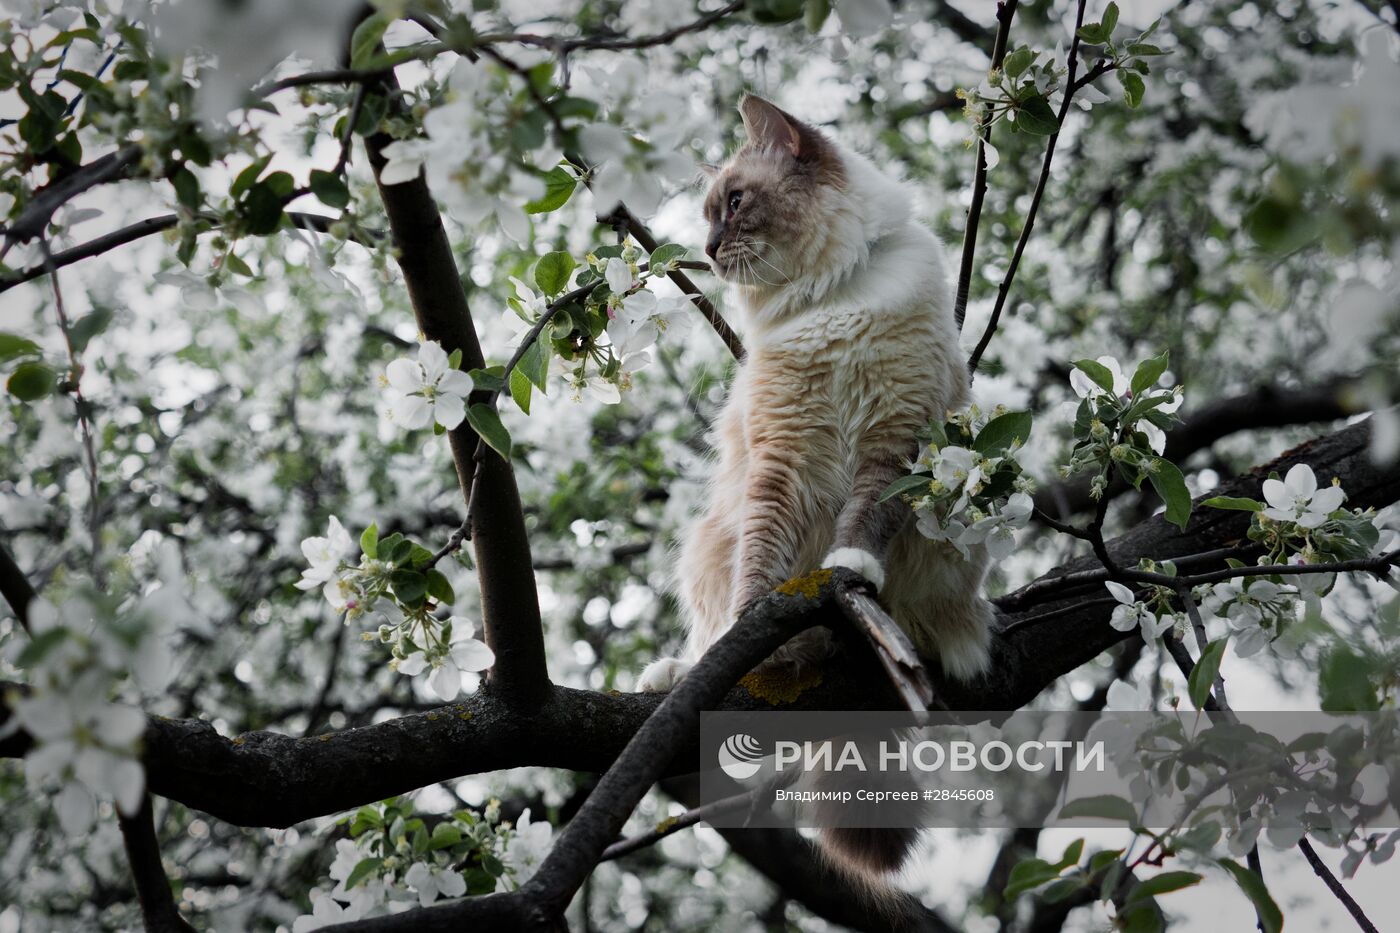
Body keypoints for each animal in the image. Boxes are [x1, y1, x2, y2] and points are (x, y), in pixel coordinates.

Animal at [641, 98, 1002, 874]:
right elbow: (759, 570)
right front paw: (756, 626)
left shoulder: (894, 437)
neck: (832, 295)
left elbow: (864, 522)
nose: (709, 252)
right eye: (710, 216)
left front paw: (848, 570)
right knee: (715, 636)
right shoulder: (785, 457)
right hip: (707, 545)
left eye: (734, 205)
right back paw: (686, 670)